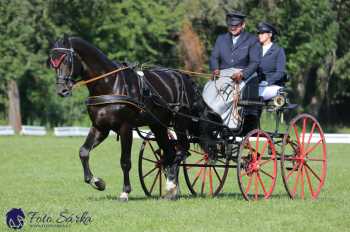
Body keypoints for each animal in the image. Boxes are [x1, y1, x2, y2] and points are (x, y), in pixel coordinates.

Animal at [47, 35, 204, 201]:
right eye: (52, 61)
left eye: (66, 60)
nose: (62, 90)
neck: (110, 84)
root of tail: (185, 77)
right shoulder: (100, 127)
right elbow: (83, 152)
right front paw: (97, 182)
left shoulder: (125, 128)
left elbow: (125, 161)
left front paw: (125, 192)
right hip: (158, 125)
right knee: (170, 153)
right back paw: (171, 189)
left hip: (180, 122)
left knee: (182, 150)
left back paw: (171, 185)